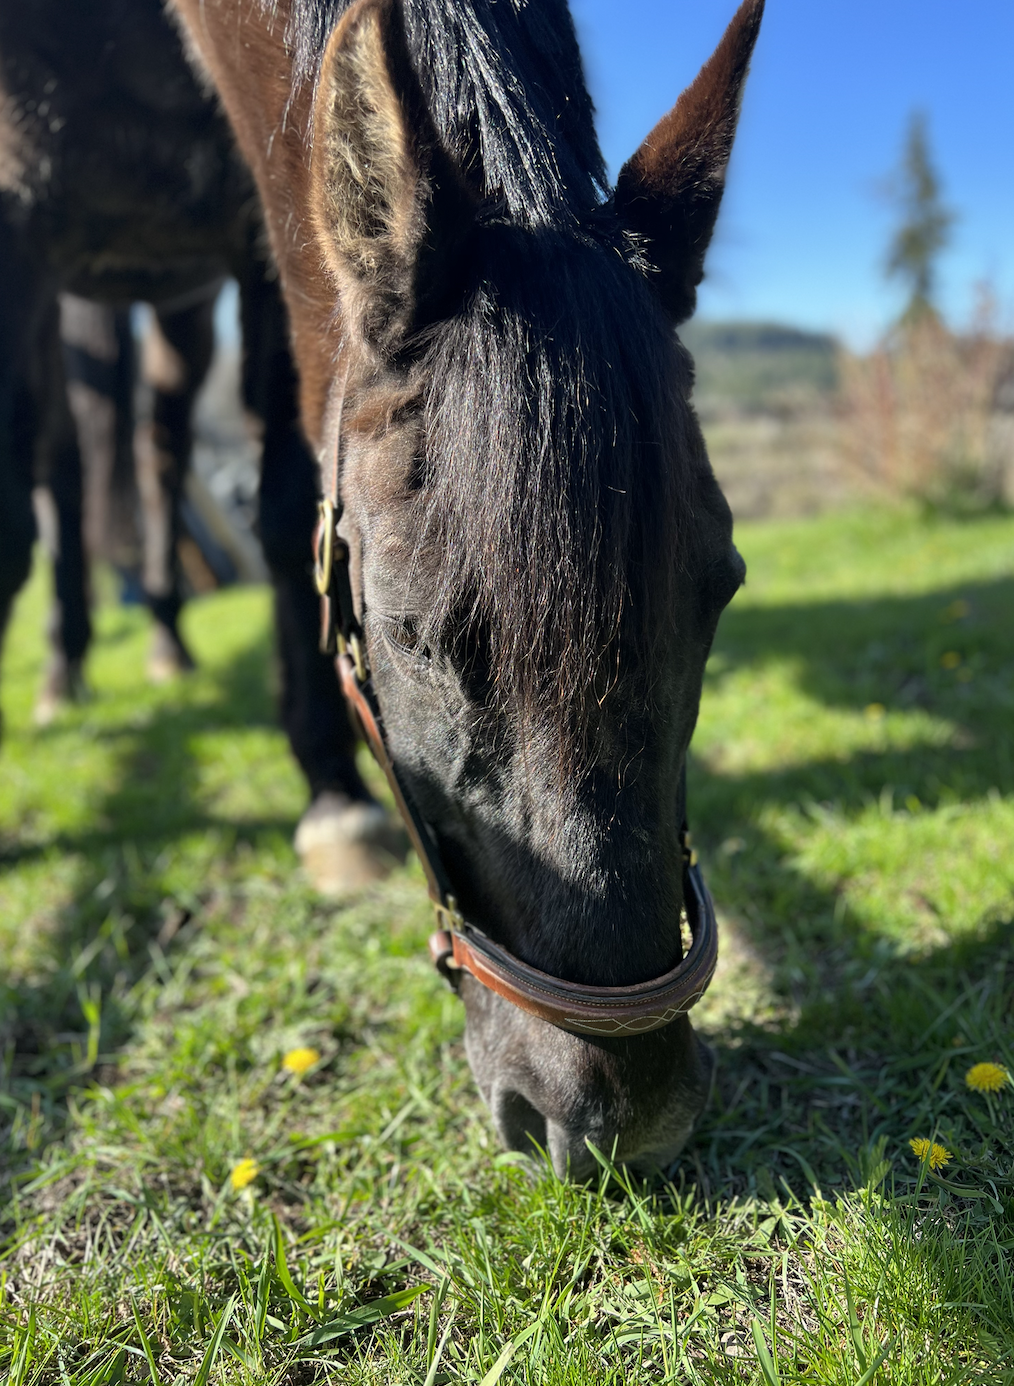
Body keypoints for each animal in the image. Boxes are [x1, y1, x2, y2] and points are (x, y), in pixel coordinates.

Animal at [0, 0, 399, 886]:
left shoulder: (269, 224)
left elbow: (286, 504)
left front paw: (336, 793)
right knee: (65, 466)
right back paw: (62, 673)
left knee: (159, 453)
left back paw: (165, 645)